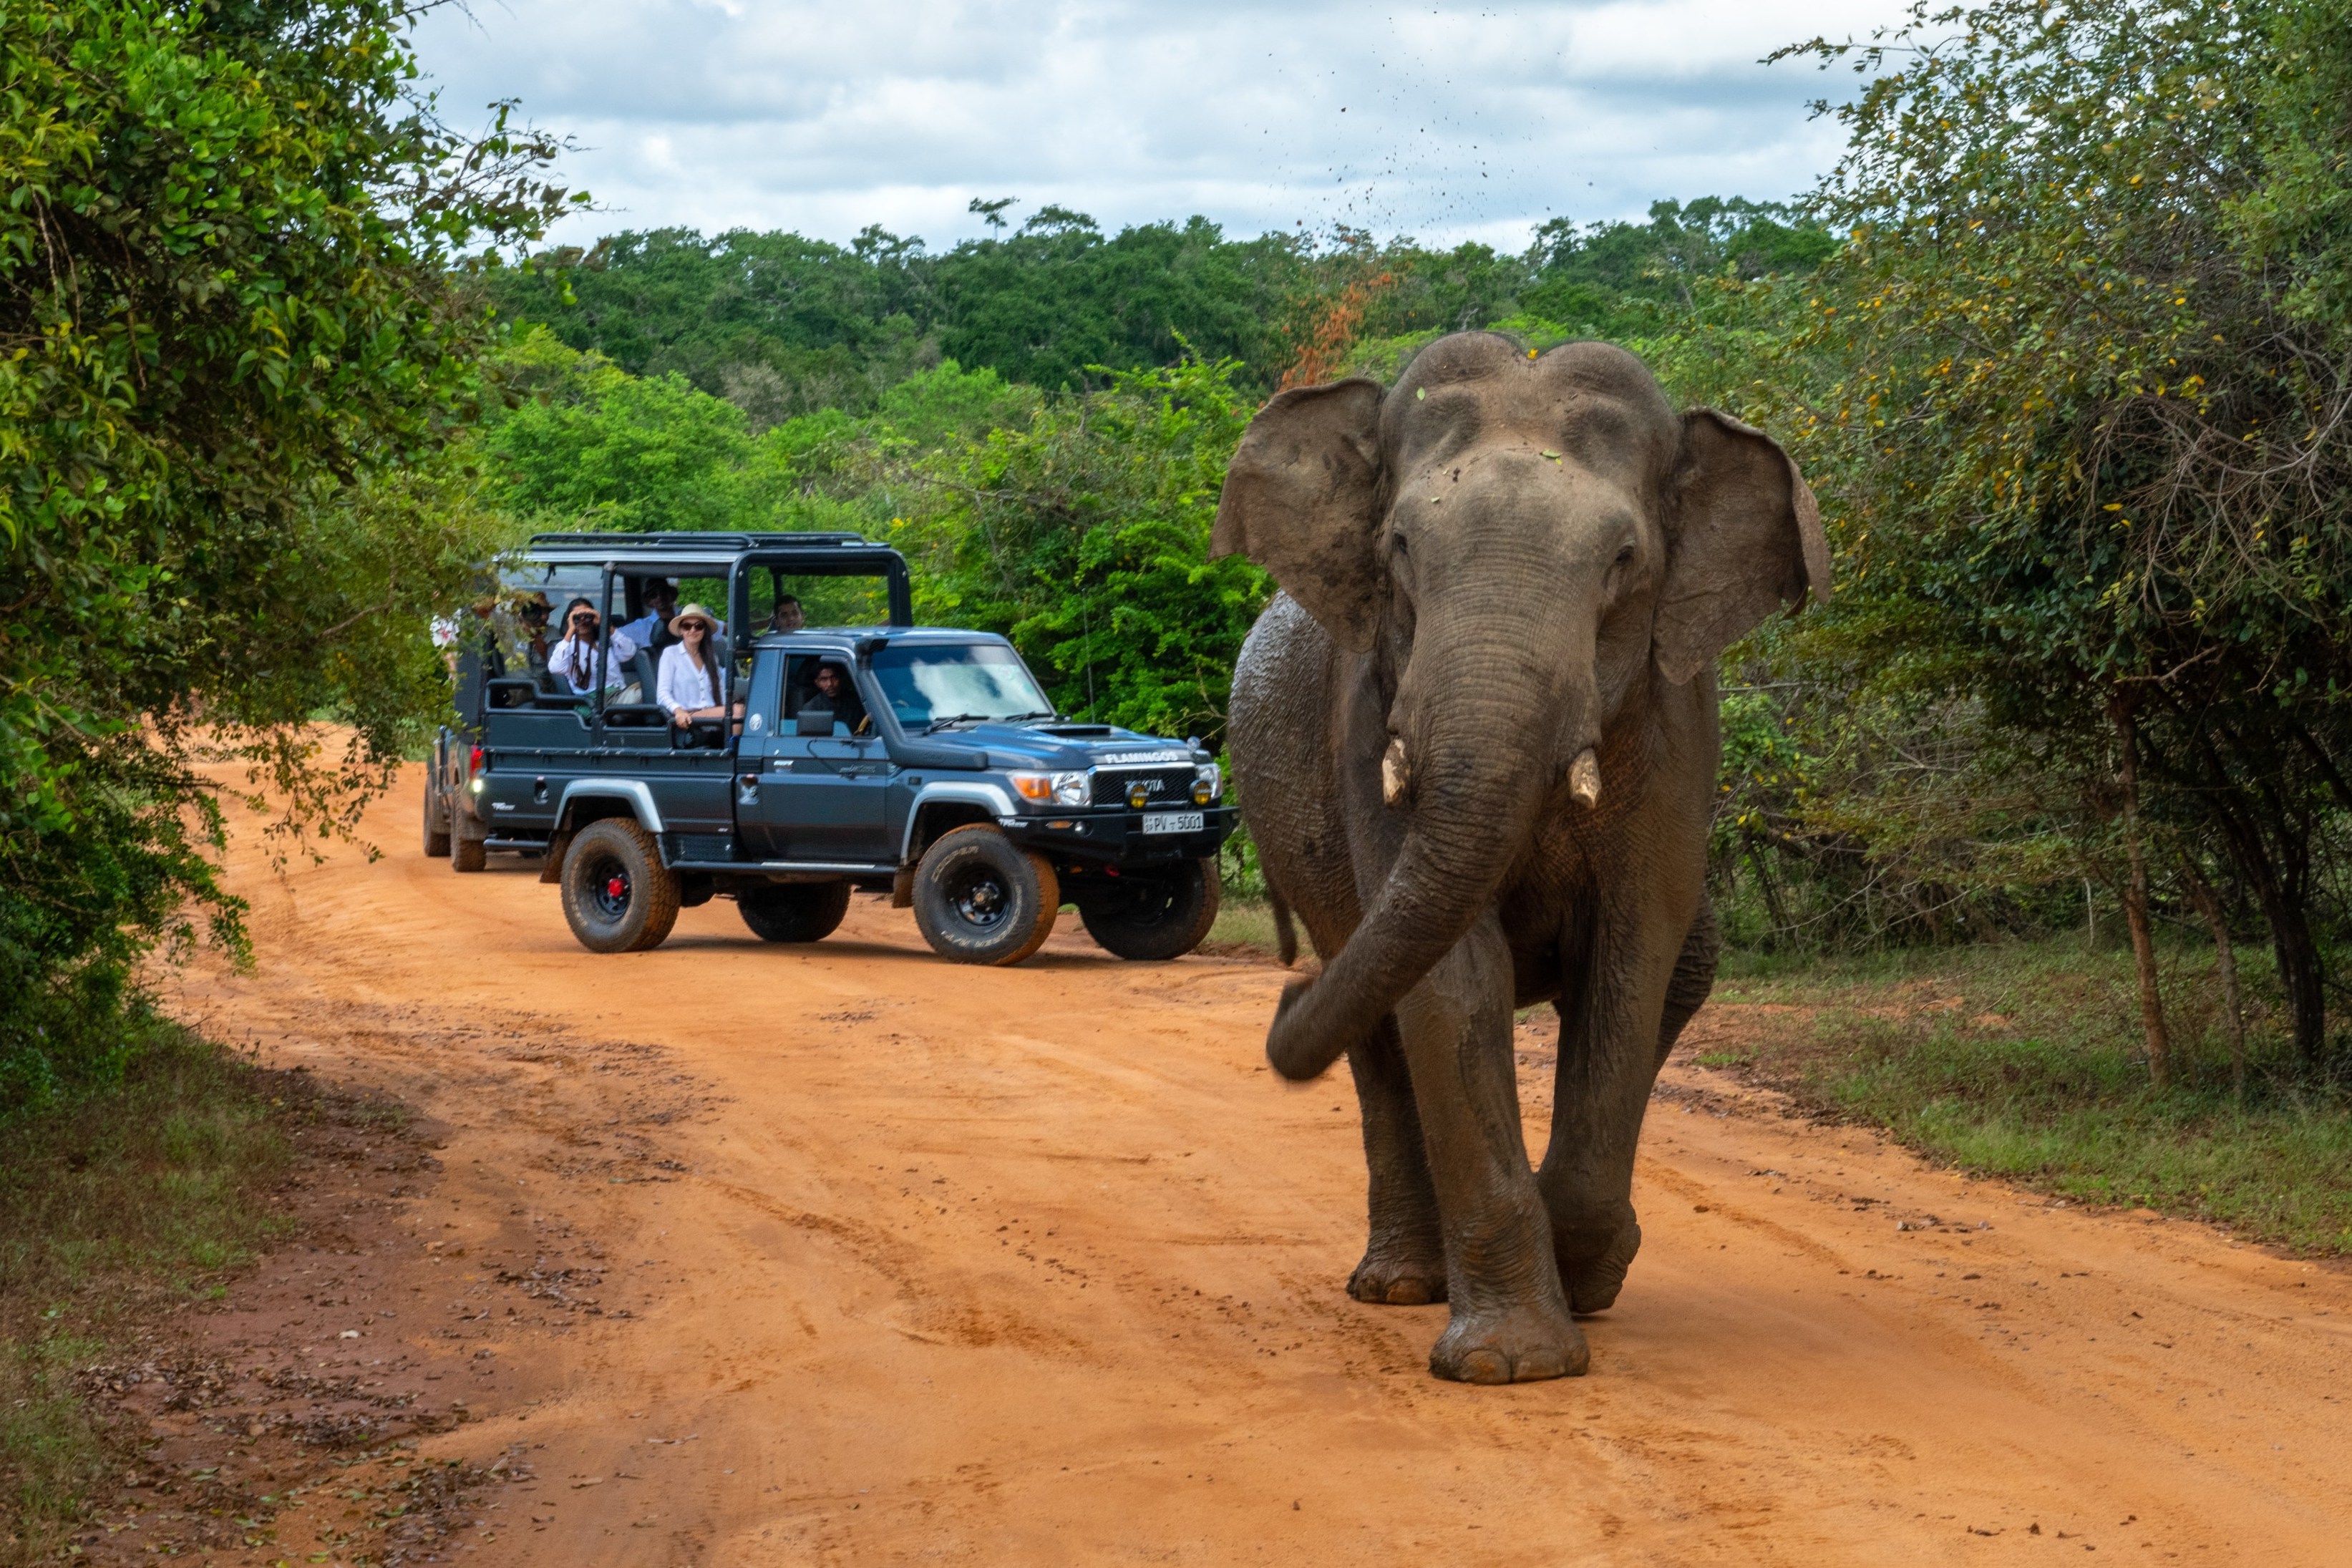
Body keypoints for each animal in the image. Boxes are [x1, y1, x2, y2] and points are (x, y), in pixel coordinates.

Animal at [1215, 331, 1827, 1384]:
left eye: (1623, 561)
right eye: (1399, 550)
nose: (1286, 993)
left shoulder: (1677, 723)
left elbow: (1633, 953)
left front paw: (1578, 1283)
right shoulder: (1368, 709)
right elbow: (1456, 977)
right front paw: (1510, 1364)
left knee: (1684, 968)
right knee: (1374, 1019)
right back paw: (1399, 1285)